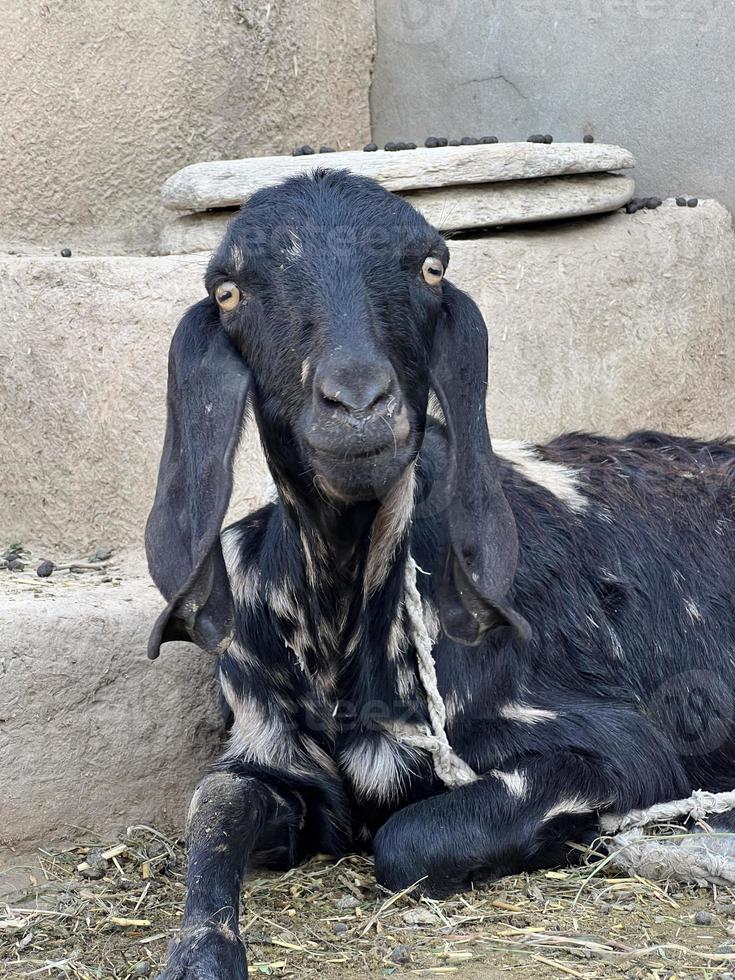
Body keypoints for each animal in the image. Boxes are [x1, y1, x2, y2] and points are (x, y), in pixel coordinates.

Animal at [144, 168, 735, 972]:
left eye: (431, 267)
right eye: (228, 289)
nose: (359, 401)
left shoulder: (623, 751)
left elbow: (407, 841)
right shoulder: (270, 753)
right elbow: (212, 809)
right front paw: (201, 955)